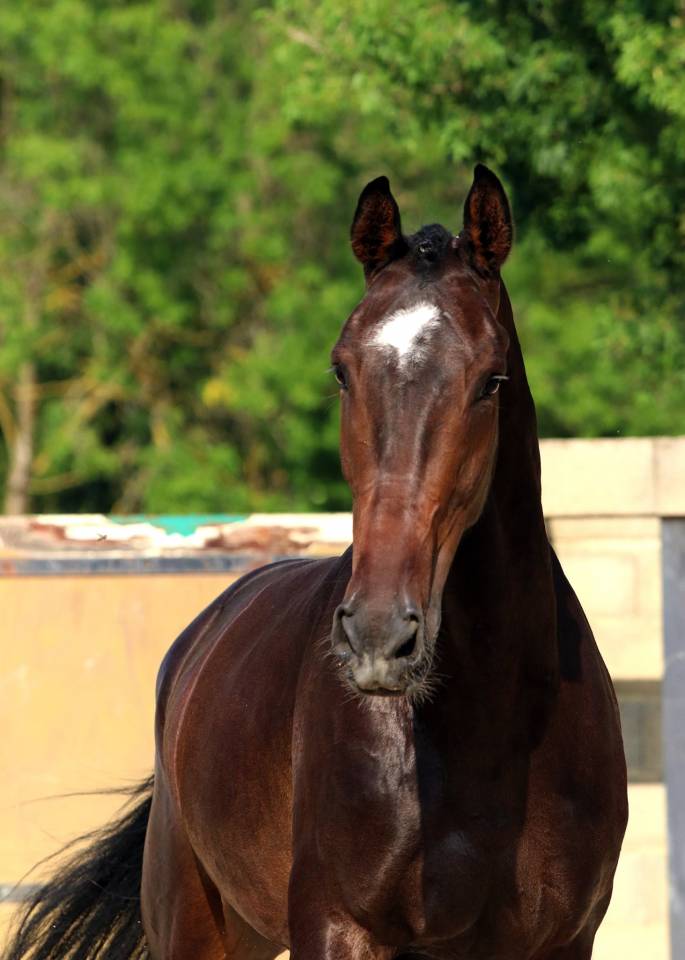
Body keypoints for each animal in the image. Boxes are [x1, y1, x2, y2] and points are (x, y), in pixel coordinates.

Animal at [7, 165, 628, 960]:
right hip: (195, 924)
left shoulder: (562, 939)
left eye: (492, 380)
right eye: (341, 371)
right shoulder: (339, 927)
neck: (493, 727)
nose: (377, 637)